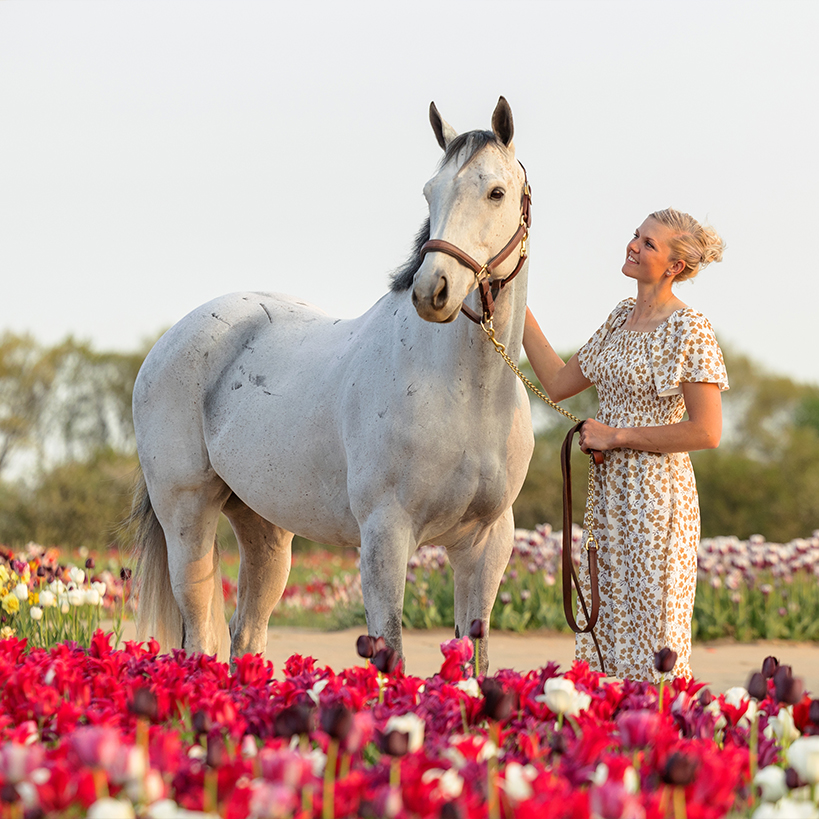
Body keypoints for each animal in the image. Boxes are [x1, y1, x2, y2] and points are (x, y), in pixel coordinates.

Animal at [131, 96, 535, 674]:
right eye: (430, 192)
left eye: (495, 192)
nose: (431, 291)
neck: (465, 395)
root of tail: (169, 341)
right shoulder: (385, 535)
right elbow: (391, 651)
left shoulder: (487, 543)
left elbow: (474, 661)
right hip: (186, 517)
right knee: (199, 638)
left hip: (265, 529)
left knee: (246, 634)